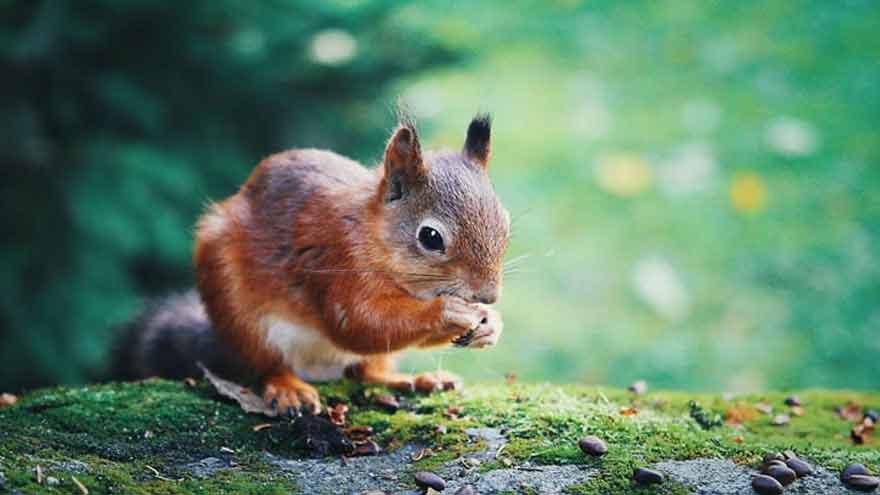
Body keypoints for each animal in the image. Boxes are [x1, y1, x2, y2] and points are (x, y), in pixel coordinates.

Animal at [112, 113, 510, 417]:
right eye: (430, 237)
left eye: (505, 223)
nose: (488, 295)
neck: (371, 232)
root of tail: (318, 368)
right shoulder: (336, 261)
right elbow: (358, 323)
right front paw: (449, 311)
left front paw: (490, 324)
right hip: (241, 315)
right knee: (267, 365)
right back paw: (289, 389)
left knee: (367, 371)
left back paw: (415, 380)